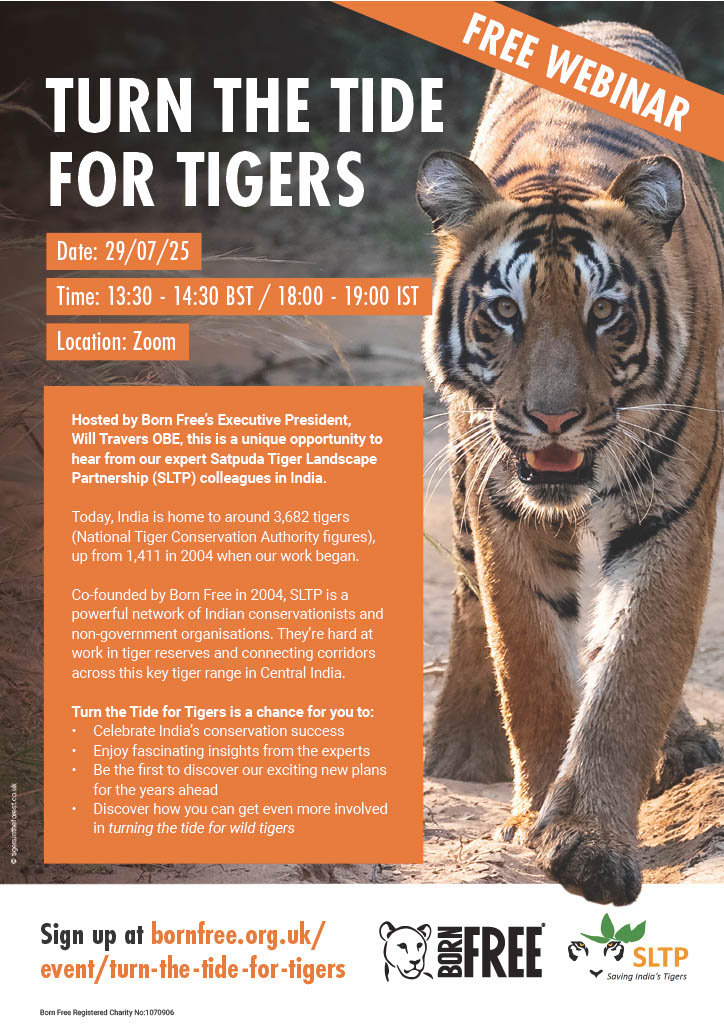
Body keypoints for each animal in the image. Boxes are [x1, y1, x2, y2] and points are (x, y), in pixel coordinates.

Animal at [418, 21, 723, 906]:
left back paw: (682, 749)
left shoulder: (671, 517)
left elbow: (632, 671)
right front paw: (534, 813)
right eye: (504, 312)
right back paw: (463, 745)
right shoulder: (503, 510)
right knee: (468, 598)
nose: (552, 417)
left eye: (605, 313)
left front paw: (590, 841)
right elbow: (531, 666)